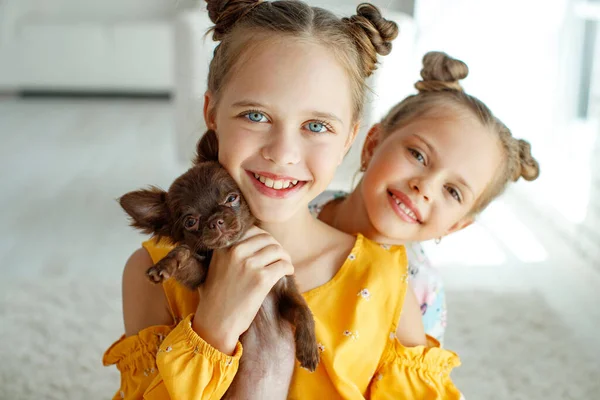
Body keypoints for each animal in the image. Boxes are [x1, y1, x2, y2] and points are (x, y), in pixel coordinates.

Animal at [119, 133, 322, 398]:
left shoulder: (284, 289)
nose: (215, 220)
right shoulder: (199, 275)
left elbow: (304, 311)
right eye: (191, 221)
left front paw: (309, 350)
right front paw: (166, 264)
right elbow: (185, 253)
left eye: (232, 198)